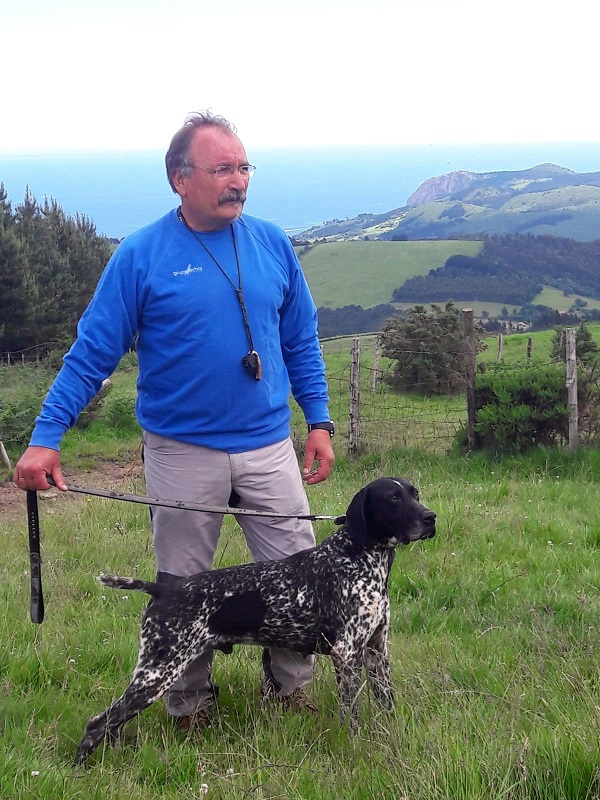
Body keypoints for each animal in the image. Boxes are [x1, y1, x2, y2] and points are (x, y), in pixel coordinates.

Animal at [75, 478, 436, 764]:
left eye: (414, 493)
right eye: (393, 498)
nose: (431, 517)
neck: (359, 557)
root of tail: (163, 588)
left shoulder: (376, 651)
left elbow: (387, 705)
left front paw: (391, 737)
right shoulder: (346, 654)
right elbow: (351, 712)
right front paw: (356, 744)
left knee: (111, 723)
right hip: (158, 671)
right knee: (98, 723)